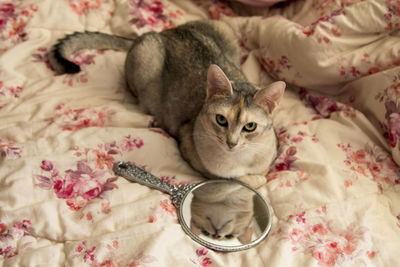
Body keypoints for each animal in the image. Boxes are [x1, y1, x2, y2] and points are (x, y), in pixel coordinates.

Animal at [48, 19, 284, 189]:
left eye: (250, 126)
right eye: (221, 120)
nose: (231, 143)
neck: (239, 159)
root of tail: (164, 32)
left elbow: (262, 174)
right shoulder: (190, 149)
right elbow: (245, 180)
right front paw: (248, 178)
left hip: (223, 27)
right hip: (146, 57)